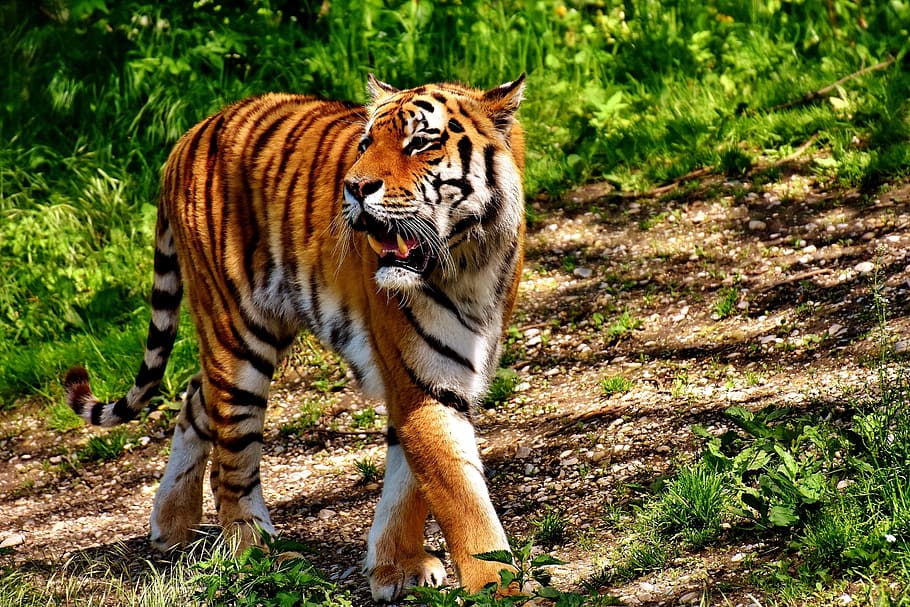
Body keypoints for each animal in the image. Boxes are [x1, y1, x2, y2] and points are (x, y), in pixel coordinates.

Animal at [64, 73, 526, 602]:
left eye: (420, 143)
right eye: (366, 144)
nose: (354, 187)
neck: (470, 259)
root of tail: (187, 136)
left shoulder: (428, 376)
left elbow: (409, 482)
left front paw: (395, 567)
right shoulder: (420, 378)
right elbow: (459, 493)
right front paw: (499, 585)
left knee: (195, 396)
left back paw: (171, 525)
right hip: (238, 337)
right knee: (231, 462)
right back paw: (257, 554)